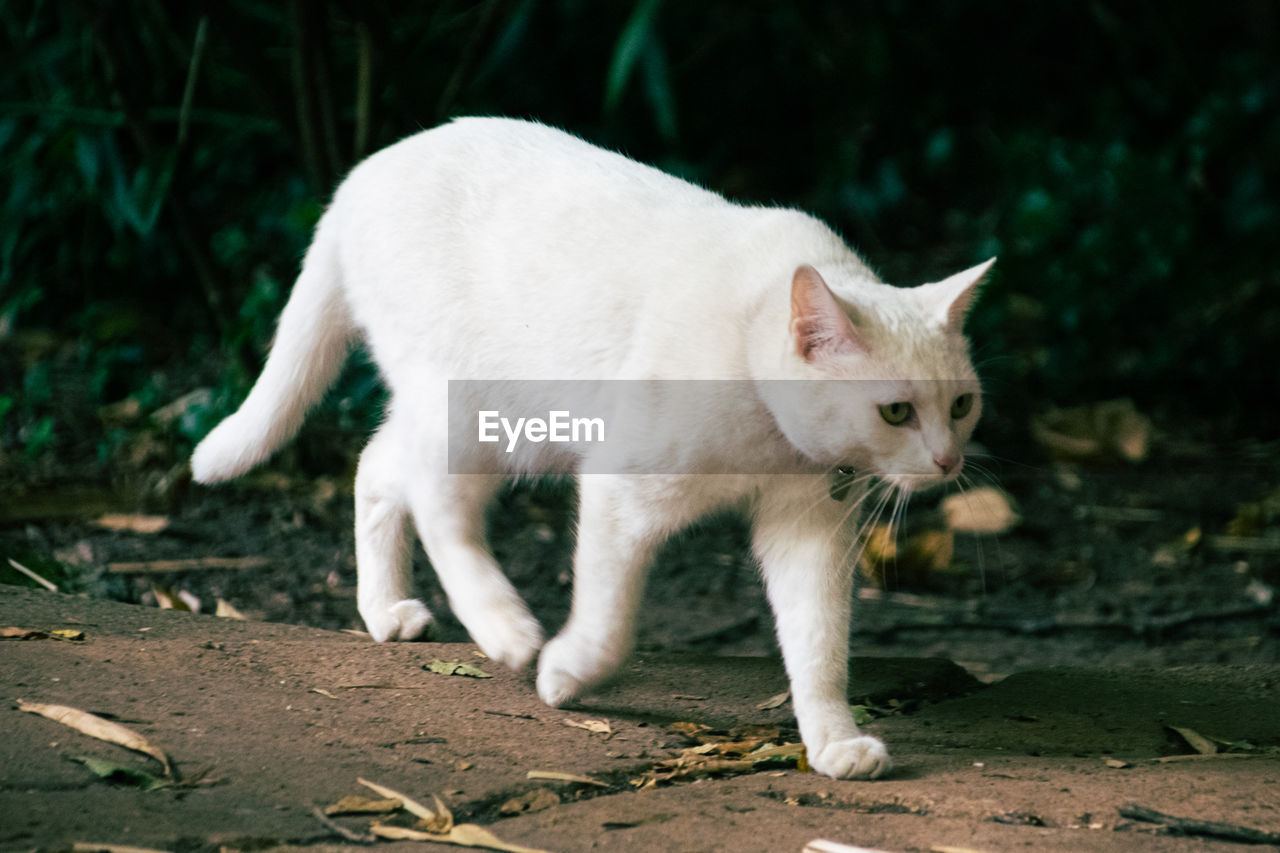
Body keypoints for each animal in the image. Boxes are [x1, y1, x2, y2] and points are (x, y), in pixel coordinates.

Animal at [189, 117, 988, 778]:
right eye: (895, 411)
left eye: (961, 405)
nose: (947, 460)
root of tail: (359, 176)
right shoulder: (621, 490)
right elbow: (609, 623)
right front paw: (565, 673)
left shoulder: (810, 530)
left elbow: (821, 646)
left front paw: (833, 742)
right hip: (474, 412)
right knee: (438, 506)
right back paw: (507, 629)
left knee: (378, 469)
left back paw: (388, 610)